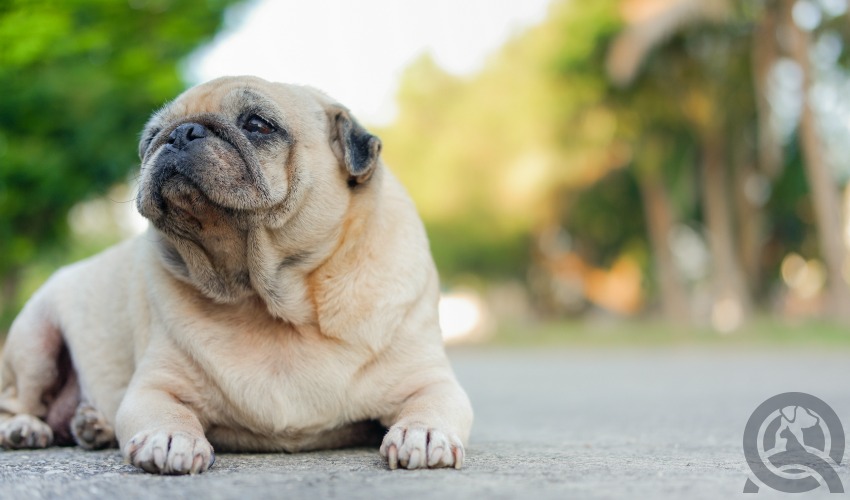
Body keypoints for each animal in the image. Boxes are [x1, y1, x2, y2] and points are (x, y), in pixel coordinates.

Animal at [0, 76, 470, 474]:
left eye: (258, 124)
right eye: (150, 139)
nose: (180, 133)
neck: (269, 299)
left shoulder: (429, 381)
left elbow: (432, 404)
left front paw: (424, 434)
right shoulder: (155, 386)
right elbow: (166, 410)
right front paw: (170, 438)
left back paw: (92, 424)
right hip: (35, 339)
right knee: (16, 400)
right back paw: (25, 428)